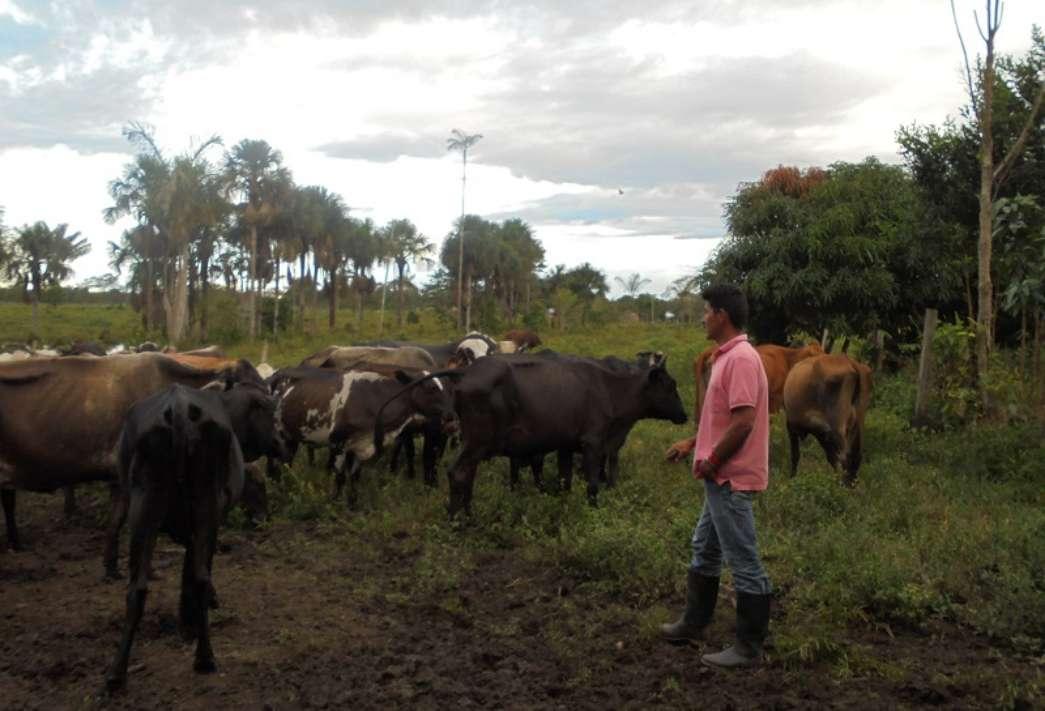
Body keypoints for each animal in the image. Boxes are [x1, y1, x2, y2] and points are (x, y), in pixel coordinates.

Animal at [103, 386, 280, 690]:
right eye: (258, 484)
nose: (281, 443)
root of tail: (179, 406)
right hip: (200, 506)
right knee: (198, 577)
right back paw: (201, 653)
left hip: (146, 509)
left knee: (140, 587)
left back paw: (119, 672)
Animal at [781, 353, 869, 485]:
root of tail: (849, 362)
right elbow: (831, 457)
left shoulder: (792, 425)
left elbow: (795, 455)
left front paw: (792, 477)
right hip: (858, 422)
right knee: (856, 454)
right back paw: (850, 482)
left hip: (839, 424)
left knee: (845, 456)